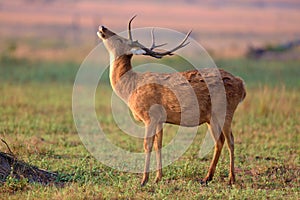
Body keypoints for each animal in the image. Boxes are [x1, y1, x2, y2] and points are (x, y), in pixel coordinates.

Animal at [97, 16, 247, 187]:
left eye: (120, 39)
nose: (102, 27)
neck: (131, 87)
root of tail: (242, 84)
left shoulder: (150, 116)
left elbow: (147, 145)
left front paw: (144, 180)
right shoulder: (160, 119)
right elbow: (159, 144)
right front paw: (158, 177)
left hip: (225, 111)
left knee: (230, 141)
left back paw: (230, 179)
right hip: (211, 118)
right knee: (221, 141)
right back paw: (208, 177)